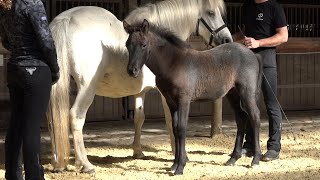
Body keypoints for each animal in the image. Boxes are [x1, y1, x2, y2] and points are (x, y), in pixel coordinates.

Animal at [48, 0, 232, 173]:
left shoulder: (139, 92)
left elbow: (139, 118)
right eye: (210, 12)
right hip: (87, 88)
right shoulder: (167, 95)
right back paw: (85, 164)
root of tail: (66, 19)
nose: (227, 40)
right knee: (76, 117)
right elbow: (171, 121)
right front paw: (180, 155)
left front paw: (138, 151)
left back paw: (58, 162)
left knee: (53, 120)